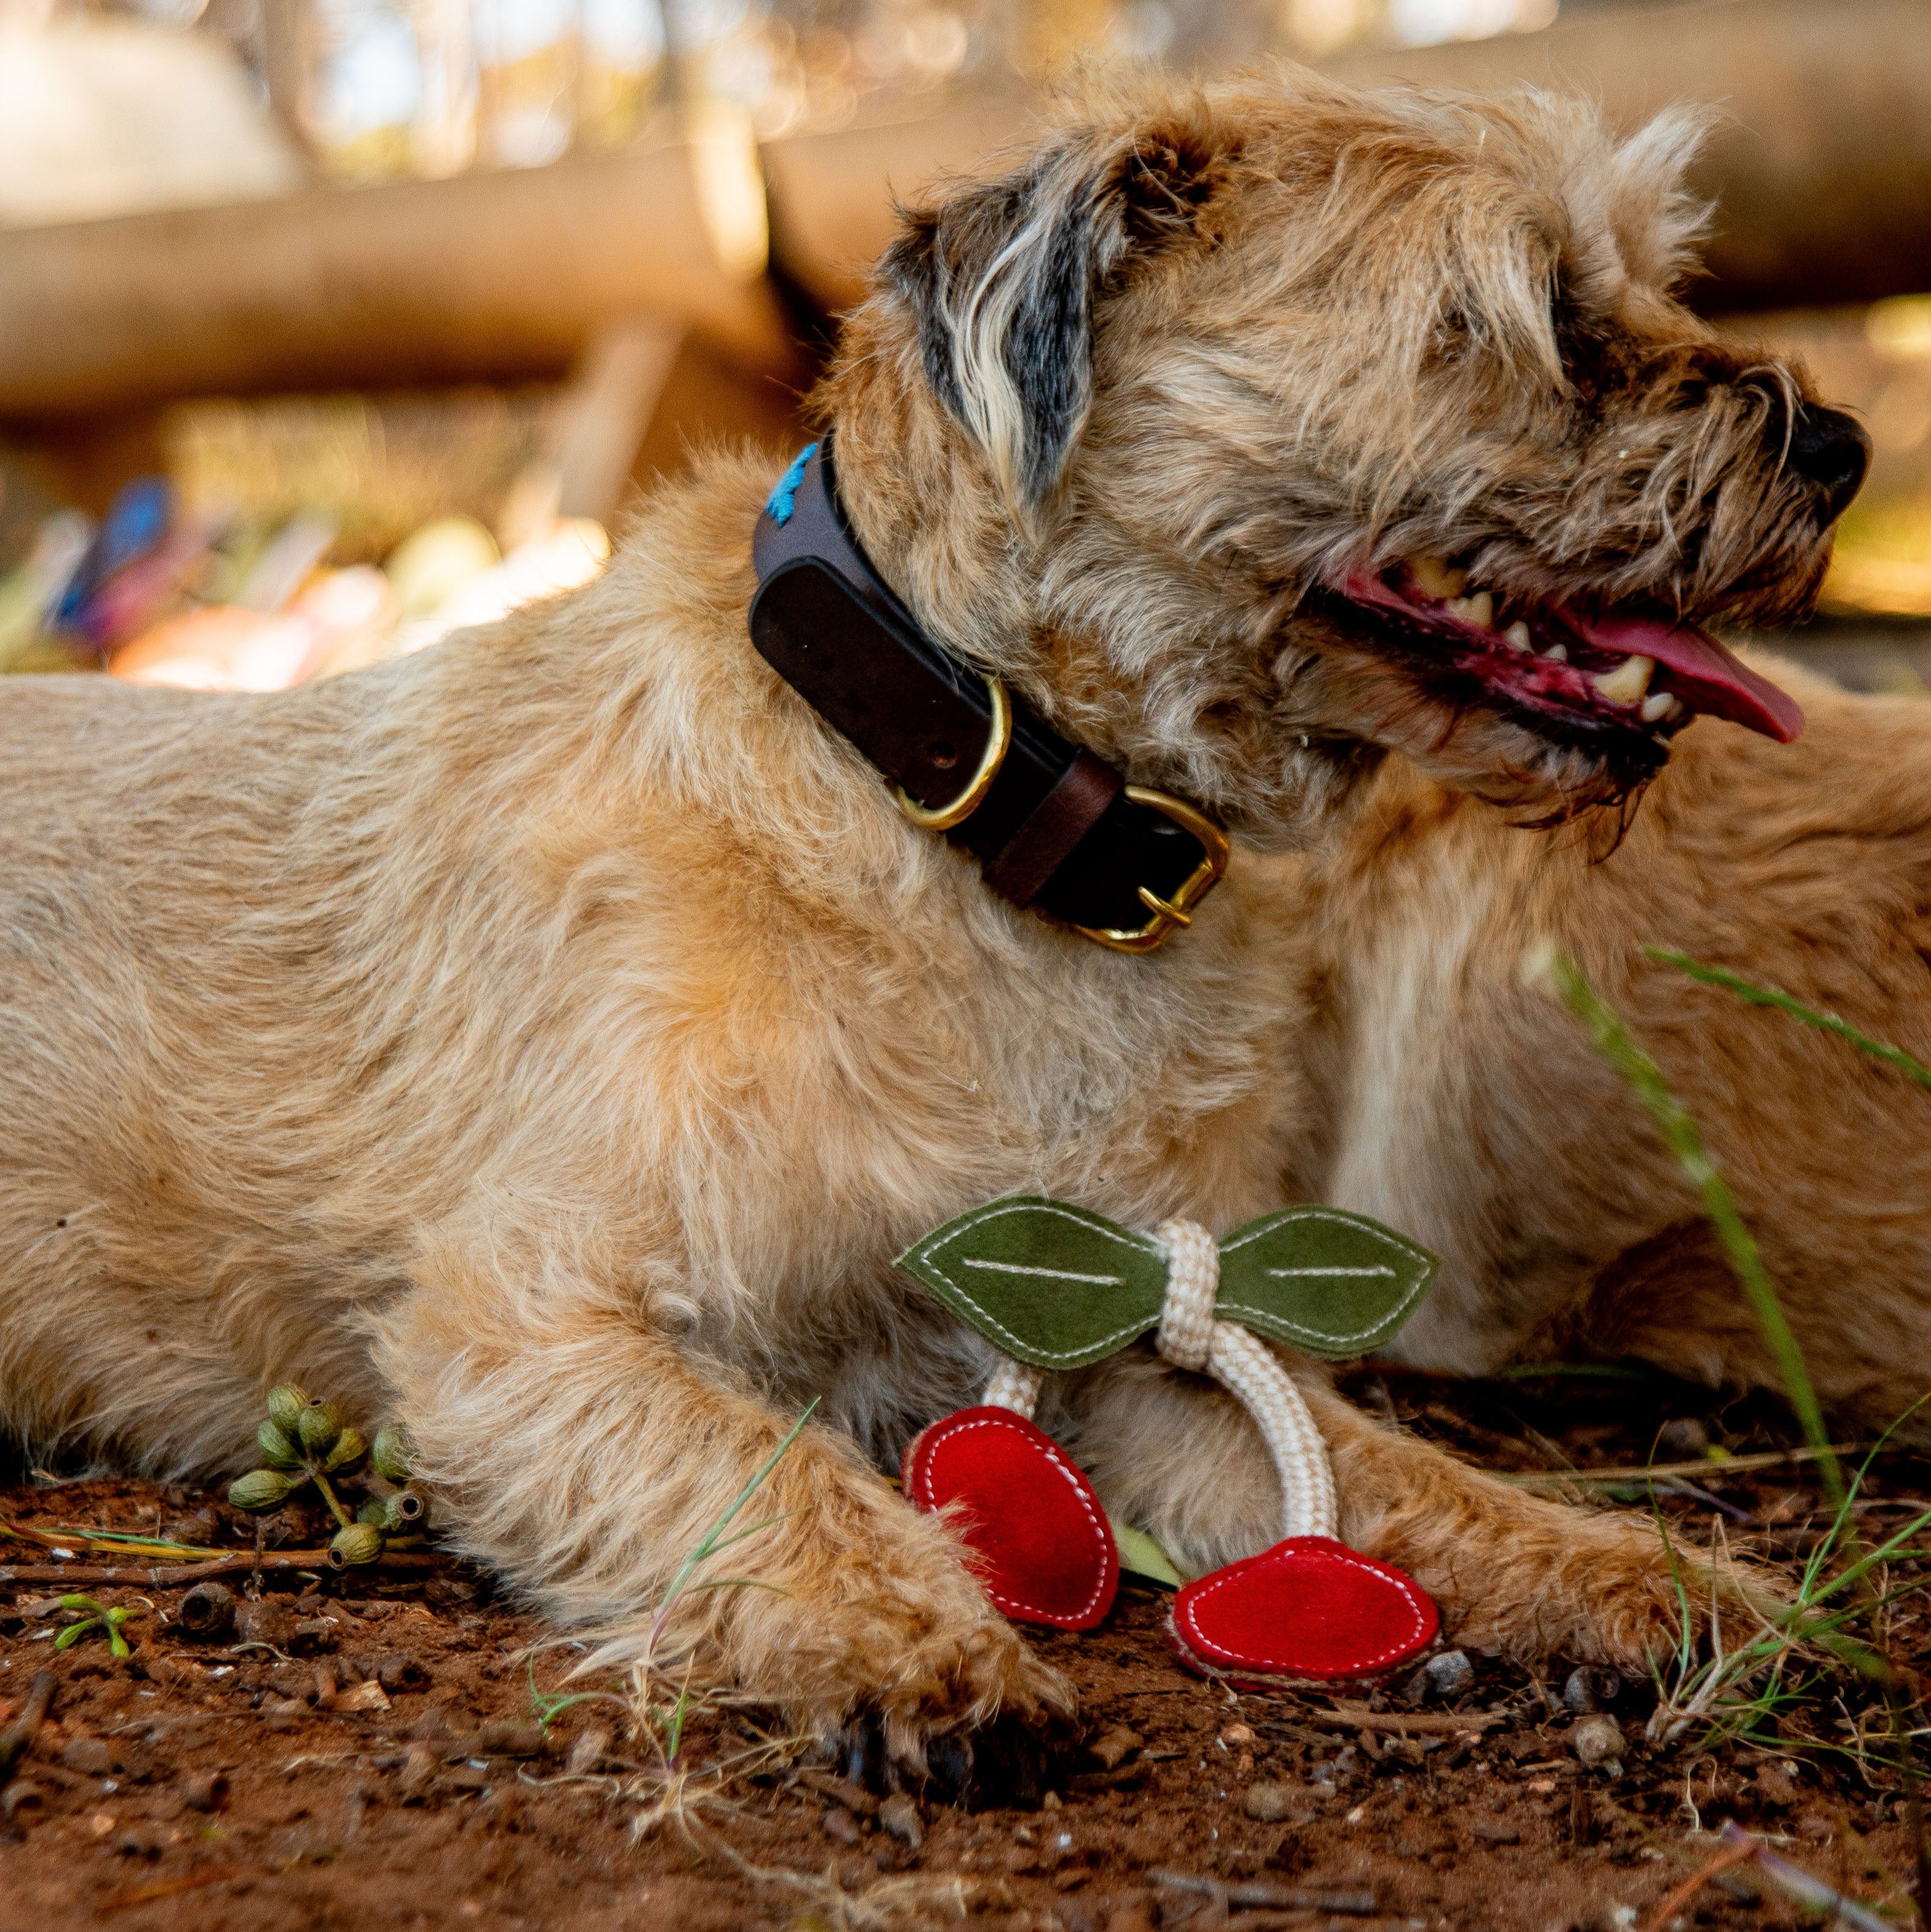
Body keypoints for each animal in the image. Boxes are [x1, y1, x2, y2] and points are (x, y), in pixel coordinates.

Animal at [0, 64, 1885, 1777]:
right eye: (1541, 309)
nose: (1845, 443)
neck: (968, 801)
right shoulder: (526, 1320)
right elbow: (763, 1463)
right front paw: (913, 1637)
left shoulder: (1132, 1355)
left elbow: (1387, 1473)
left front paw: (1644, 1571)